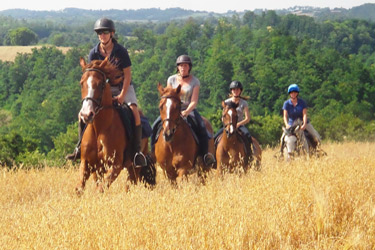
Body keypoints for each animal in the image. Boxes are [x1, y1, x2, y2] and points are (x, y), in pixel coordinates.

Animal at [76, 57, 154, 194]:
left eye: (100, 84)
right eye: (81, 83)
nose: (86, 114)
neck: (99, 128)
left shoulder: (116, 165)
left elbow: (101, 188)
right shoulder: (88, 163)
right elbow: (80, 188)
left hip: (134, 166)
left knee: (130, 183)